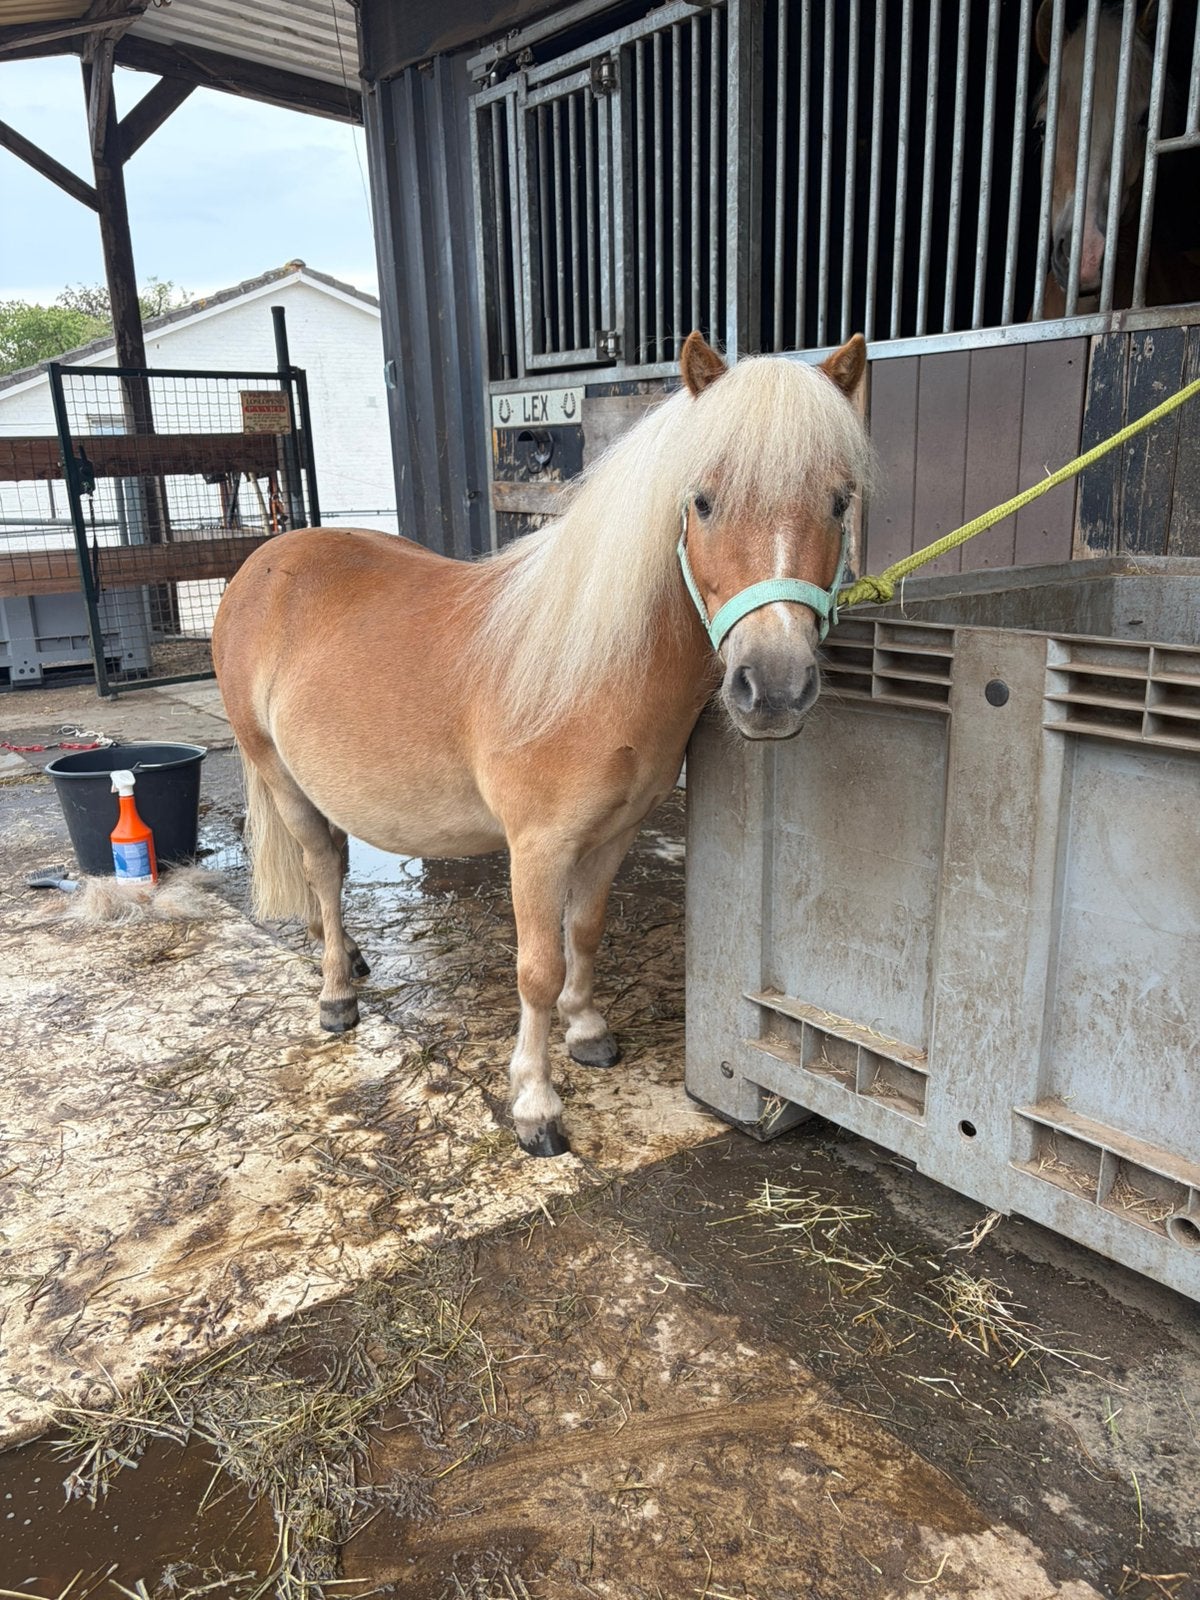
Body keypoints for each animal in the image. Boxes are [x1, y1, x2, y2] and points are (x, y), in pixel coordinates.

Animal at [212, 331, 870, 1158]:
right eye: (703, 500)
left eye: (839, 502)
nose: (775, 687)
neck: (595, 664)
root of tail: (265, 562)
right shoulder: (537, 846)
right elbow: (537, 968)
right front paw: (535, 1103)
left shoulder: (614, 834)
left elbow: (584, 933)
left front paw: (586, 1032)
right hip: (276, 771)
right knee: (322, 869)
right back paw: (335, 992)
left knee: (327, 860)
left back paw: (353, 959)